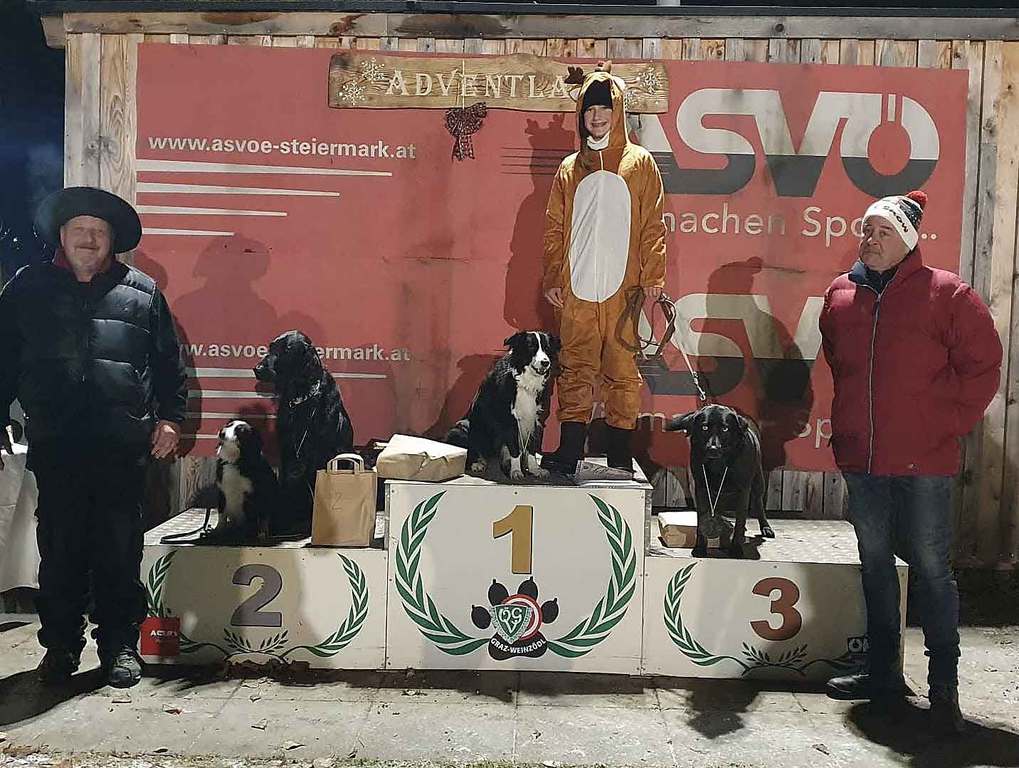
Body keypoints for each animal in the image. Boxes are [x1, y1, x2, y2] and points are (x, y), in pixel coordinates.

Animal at [254, 330, 354, 535]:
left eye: (286, 350)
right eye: (271, 347)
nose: (257, 369)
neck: (301, 396)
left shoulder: (322, 454)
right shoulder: (287, 450)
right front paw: (280, 522)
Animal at [446, 331, 560, 481]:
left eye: (547, 348)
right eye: (531, 347)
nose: (545, 362)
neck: (525, 381)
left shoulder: (535, 419)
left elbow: (531, 448)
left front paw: (535, 469)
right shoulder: (509, 420)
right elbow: (515, 449)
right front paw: (516, 471)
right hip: (461, 428)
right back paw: (478, 463)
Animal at [666, 404, 774, 558]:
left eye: (725, 428)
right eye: (704, 427)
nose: (713, 448)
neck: (719, 464)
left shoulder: (743, 490)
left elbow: (740, 522)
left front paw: (736, 549)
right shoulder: (700, 487)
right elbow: (701, 520)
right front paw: (700, 548)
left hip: (758, 481)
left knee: (758, 503)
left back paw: (766, 527)